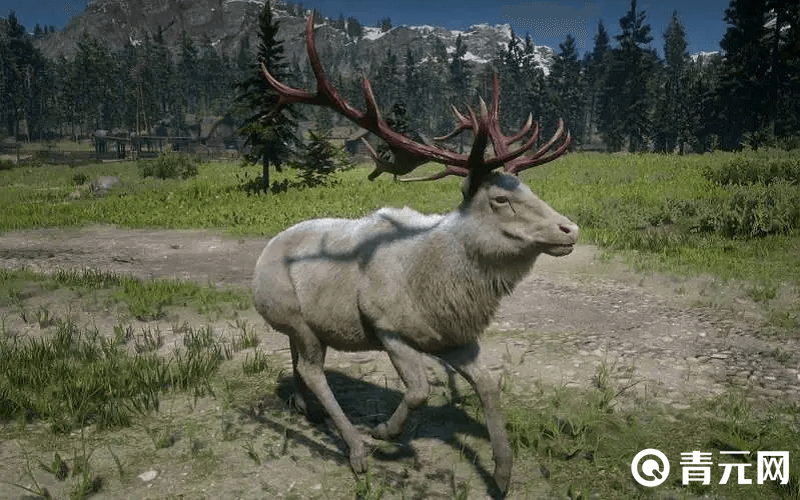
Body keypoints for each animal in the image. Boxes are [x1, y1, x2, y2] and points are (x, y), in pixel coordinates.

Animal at [252, 14, 577, 497]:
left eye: (529, 189)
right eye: (500, 199)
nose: (569, 229)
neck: (440, 285)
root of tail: (261, 257)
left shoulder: (457, 337)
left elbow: (489, 384)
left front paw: (502, 473)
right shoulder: (387, 326)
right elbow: (421, 390)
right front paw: (385, 432)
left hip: (305, 324)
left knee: (298, 359)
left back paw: (307, 408)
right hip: (292, 314)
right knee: (313, 369)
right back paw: (355, 447)